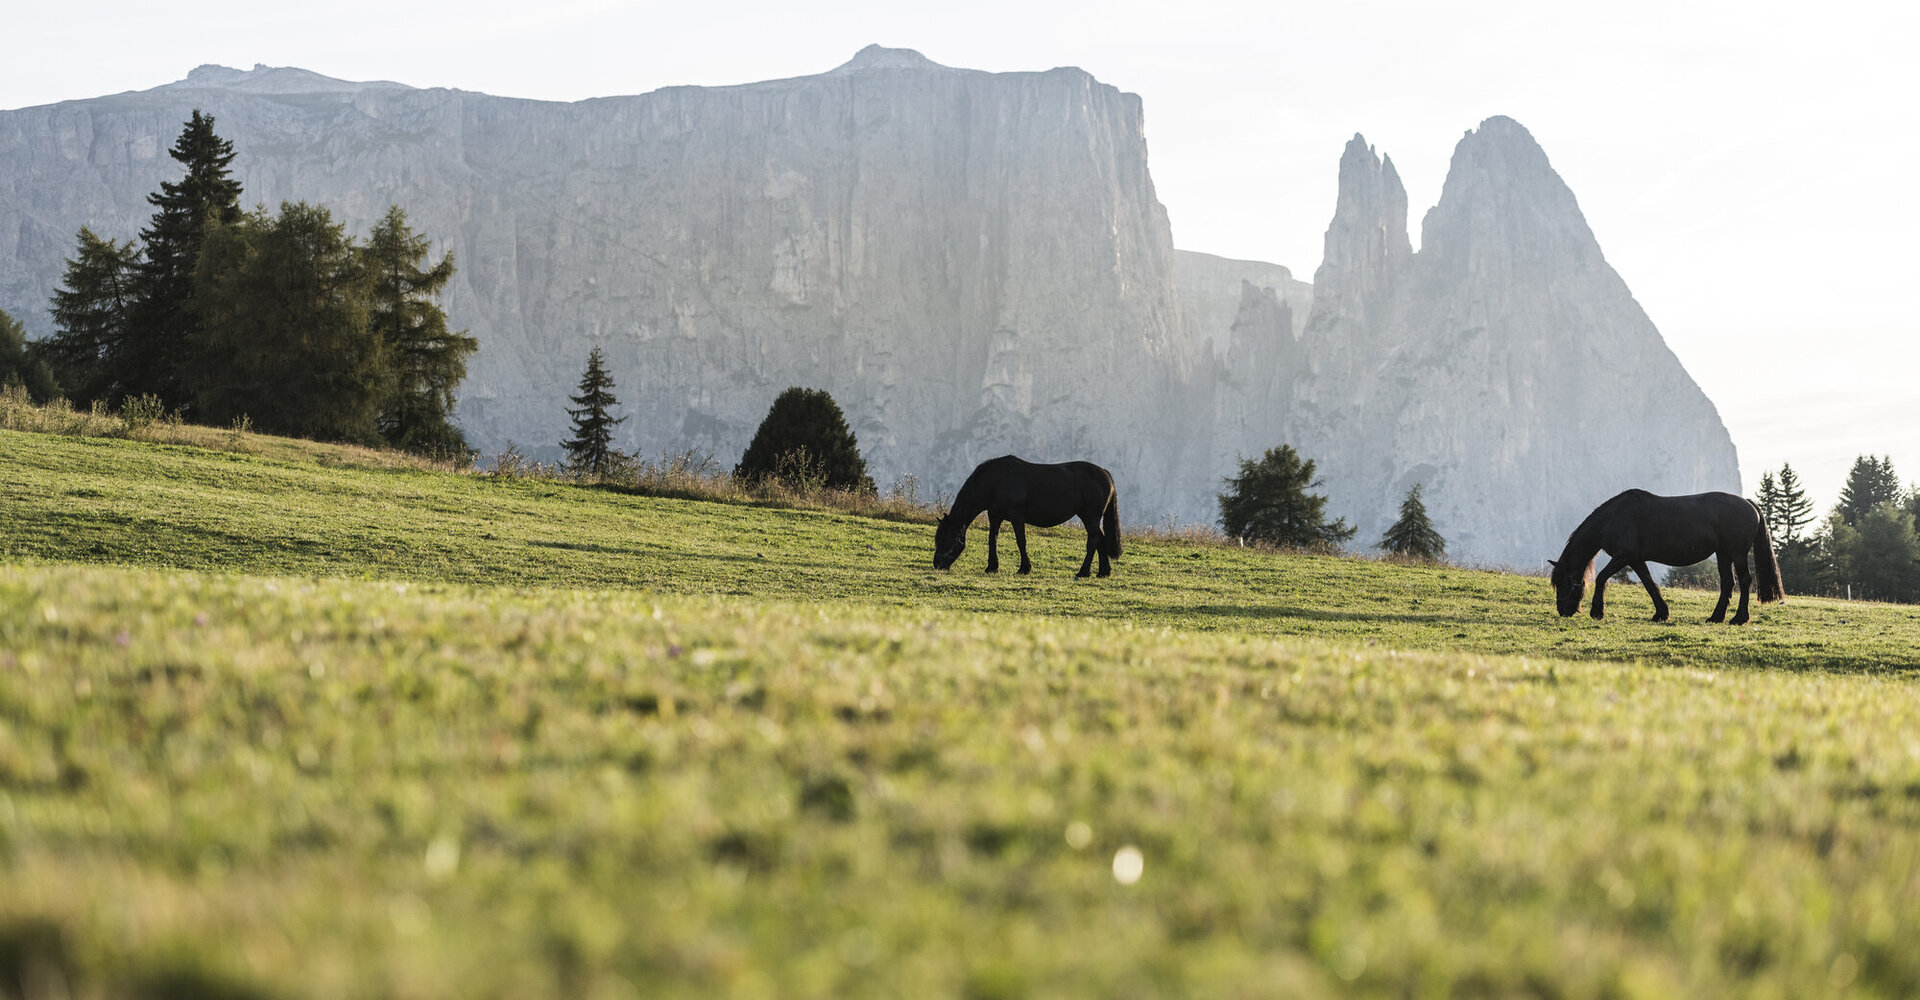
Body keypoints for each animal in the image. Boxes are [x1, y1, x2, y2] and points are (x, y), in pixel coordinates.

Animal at [932, 456, 1122, 578]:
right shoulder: (995, 516)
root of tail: (1105, 474)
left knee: (1094, 540)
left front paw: (1024, 568)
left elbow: (1021, 541)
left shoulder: (1017, 517)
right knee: (1100, 539)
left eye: (946, 540)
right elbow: (992, 539)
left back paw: (1083, 572)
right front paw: (992, 567)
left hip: (1090, 517)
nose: (937, 565)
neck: (996, 480)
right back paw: (1103, 572)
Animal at [1549, 489, 1783, 625]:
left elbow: (1601, 578)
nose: (1563, 610)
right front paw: (1661, 613)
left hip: (1737, 554)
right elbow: (1649, 584)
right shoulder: (1636, 560)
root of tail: (1748, 503)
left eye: (1564, 584)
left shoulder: (1623, 556)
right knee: (1727, 583)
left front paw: (1597, 611)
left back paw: (1739, 618)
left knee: (1744, 581)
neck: (1612, 518)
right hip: (1723, 554)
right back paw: (1716, 617)